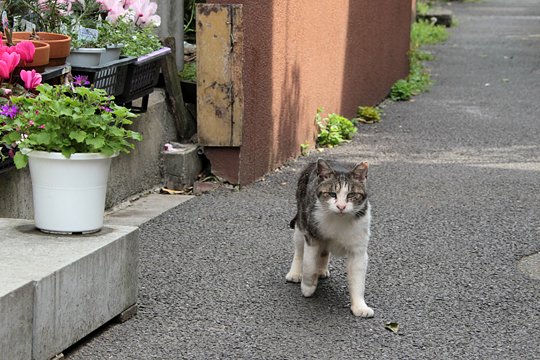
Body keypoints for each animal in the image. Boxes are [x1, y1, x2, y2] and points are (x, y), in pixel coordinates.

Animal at [284, 159, 374, 316]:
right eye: (332, 194)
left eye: (351, 194)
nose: (341, 206)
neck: (339, 220)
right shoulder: (312, 236)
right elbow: (308, 264)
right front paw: (308, 287)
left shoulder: (358, 249)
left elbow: (358, 278)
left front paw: (359, 306)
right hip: (301, 221)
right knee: (299, 251)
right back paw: (295, 273)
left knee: (324, 251)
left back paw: (321, 269)